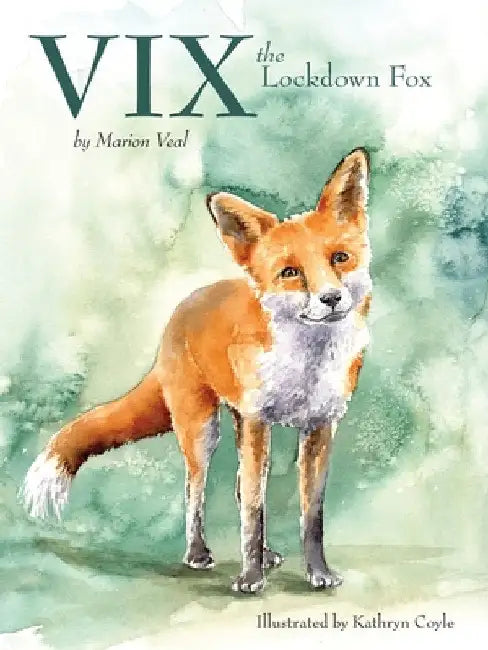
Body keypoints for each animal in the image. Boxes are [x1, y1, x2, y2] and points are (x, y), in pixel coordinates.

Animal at [22, 148, 372, 593]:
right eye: (291, 272)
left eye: (340, 258)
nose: (331, 299)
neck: (305, 367)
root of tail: (182, 307)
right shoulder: (258, 419)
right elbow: (254, 510)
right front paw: (250, 577)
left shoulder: (320, 426)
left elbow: (311, 515)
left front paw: (318, 572)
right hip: (203, 430)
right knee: (195, 489)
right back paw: (197, 554)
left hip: (239, 424)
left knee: (239, 485)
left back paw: (265, 555)